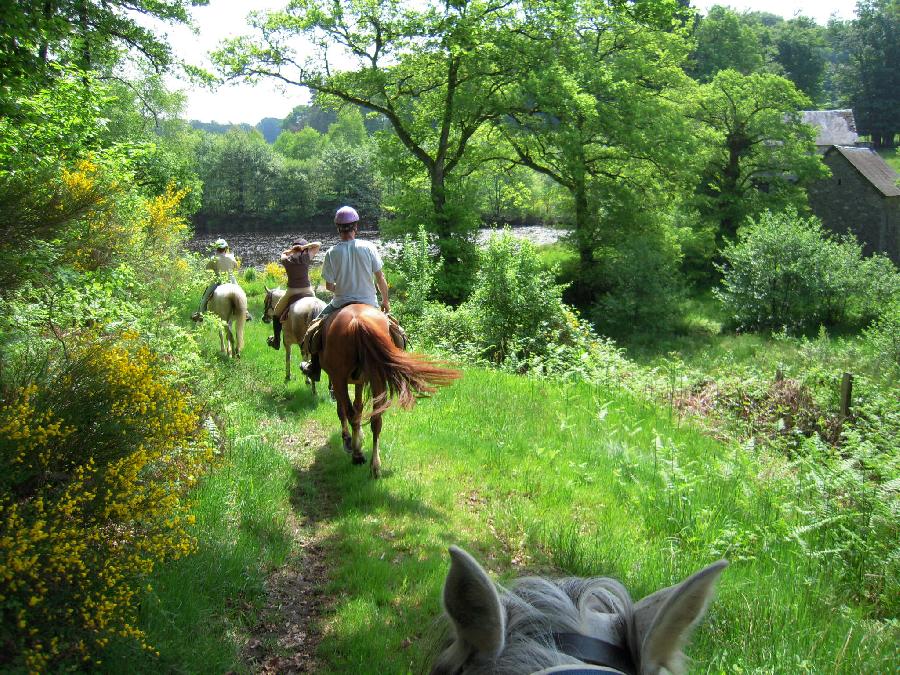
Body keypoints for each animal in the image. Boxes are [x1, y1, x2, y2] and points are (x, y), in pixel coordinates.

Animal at [322, 304, 460, 478]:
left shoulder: (337, 379)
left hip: (340, 377)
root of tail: (358, 321)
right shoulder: (358, 381)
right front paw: (359, 436)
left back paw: (357, 455)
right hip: (376, 377)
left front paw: (348, 439)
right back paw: (375, 466)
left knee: (350, 413)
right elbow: (359, 407)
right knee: (376, 419)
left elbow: (344, 411)